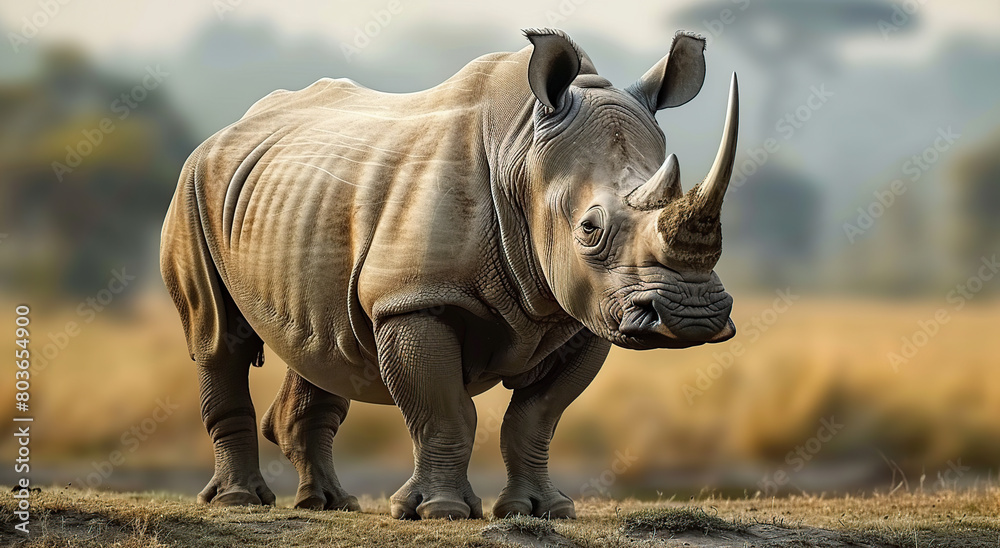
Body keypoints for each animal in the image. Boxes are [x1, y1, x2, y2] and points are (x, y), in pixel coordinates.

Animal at [160, 28, 739, 520]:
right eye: (590, 230)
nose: (690, 317)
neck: (522, 152)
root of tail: (224, 133)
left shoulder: (585, 313)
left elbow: (535, 419)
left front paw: (543, 511)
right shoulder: (413, 299)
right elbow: (445, 411)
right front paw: (440, 512)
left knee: (323, 343)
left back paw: (328, 504)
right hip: (192, 185)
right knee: (218, 337)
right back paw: (238, 502)